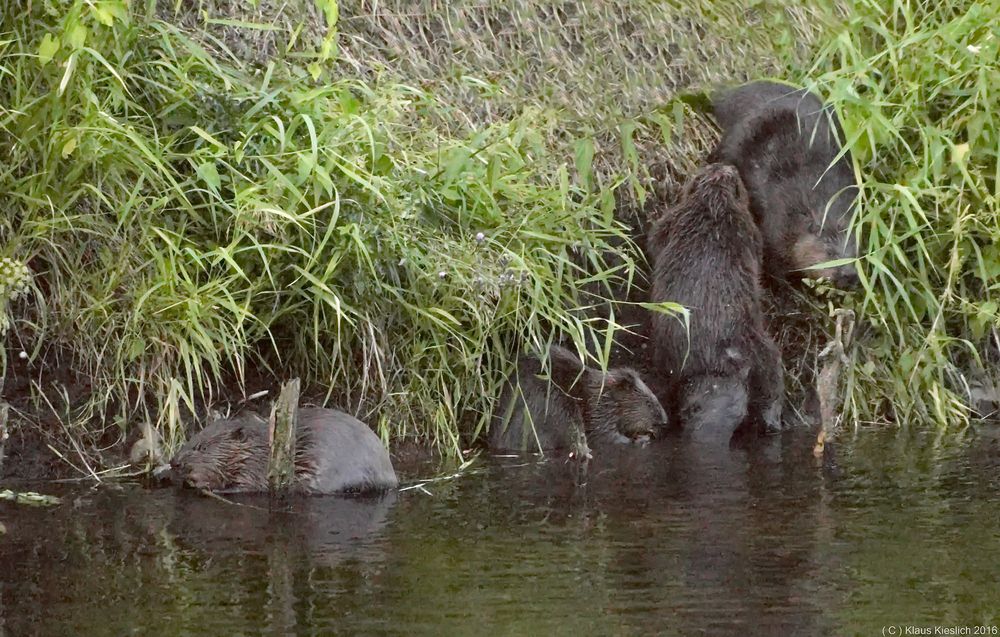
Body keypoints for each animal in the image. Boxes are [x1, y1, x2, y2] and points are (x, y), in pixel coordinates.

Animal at [170, 408, 396, 492]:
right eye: (191, 439)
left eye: (202, 447)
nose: (174, 462)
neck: (259, 448)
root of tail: (392, 477)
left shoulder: (254, 470)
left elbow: (247, 486)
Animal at [488, 342, 668, 452]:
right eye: (649, 403)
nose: (665, 421)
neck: (603, 393)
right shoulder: (599, 411)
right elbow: (604, 436)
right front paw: (642, 438)